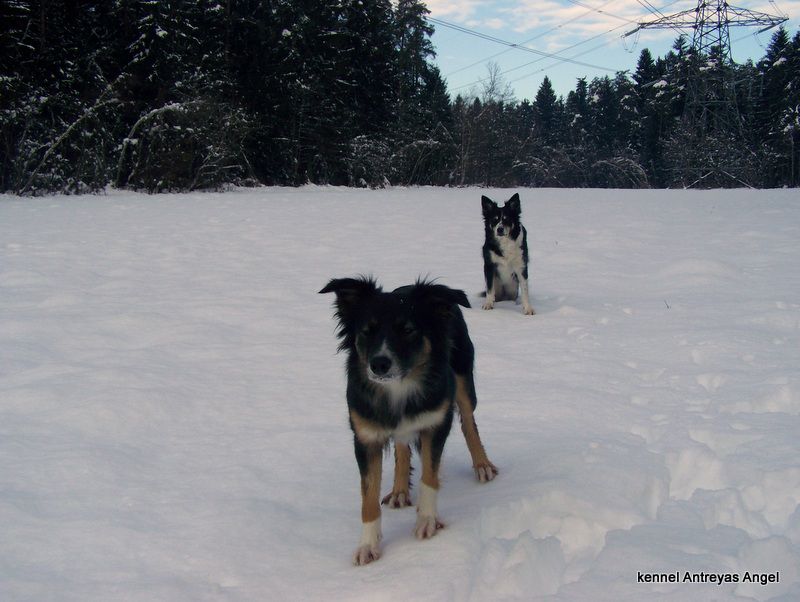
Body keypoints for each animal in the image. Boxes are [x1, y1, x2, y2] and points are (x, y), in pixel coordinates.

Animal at [320, 276, 496, 564]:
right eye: (367, 331)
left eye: (408, 330)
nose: (379, 364)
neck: (399, 388)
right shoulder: (365, 437)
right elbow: (368, 496)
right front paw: (368, 545)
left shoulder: (436, 423)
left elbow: (429, 476)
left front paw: (427, 521)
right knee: (402, 447)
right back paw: (400, 490)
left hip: (462, 375)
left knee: (469, 423)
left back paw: (483, 465)